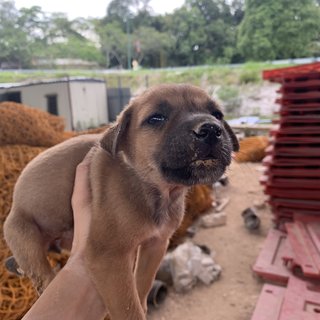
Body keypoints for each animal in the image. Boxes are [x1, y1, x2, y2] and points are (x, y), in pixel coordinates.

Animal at [3, 84, 239, 318]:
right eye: (156, 118)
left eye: (218, 115)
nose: (211, 129)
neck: (155, 190)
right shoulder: (109, 258)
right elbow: (128, 308)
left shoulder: (156, 243)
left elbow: (142, 284)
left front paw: (144, 304)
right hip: (24, 235)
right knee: (43, 277)